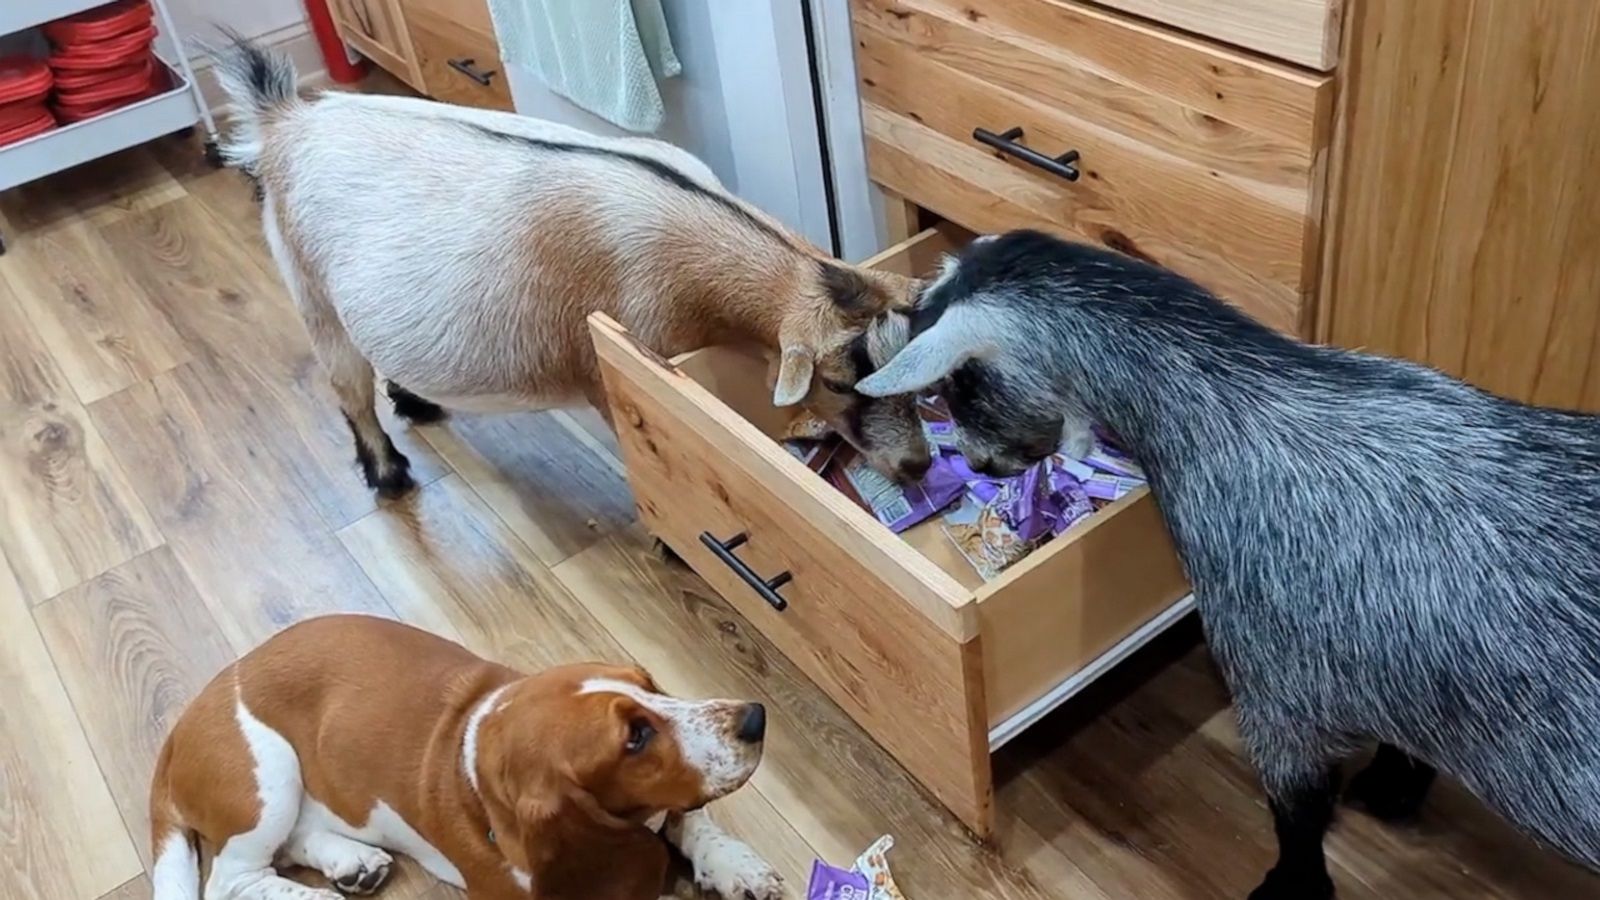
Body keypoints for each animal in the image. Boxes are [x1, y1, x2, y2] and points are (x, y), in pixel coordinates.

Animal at [212, 38, 928, 493]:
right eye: (834, 381)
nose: (920, 466)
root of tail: (284, 118)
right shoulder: (619, 362)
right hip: (309, 288)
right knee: (347, 385)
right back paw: (387, 476)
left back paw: (415, 399)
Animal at [857, 227, 1600, 890]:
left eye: (959, 385)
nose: (979, 464)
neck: (1234, 408)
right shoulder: (1409, 676)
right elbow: (1409, 737)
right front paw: (1394, 786)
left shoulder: (1275, 687)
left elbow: (1297, 814)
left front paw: (1289, 887)